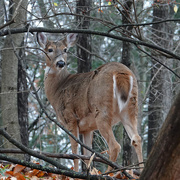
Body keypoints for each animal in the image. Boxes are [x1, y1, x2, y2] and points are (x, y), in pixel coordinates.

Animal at [37, 32, 143, 172]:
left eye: (65, 49)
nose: (60, 63)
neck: (58, 89)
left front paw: (76, 172)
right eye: (49, 49)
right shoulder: (87, 129)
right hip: (131, 106)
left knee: (115, 146)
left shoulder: (70, 118)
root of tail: (121, 73)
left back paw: (108, 173)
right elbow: (87, 155)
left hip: (102, 108)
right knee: (136, 139)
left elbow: (75, 151)